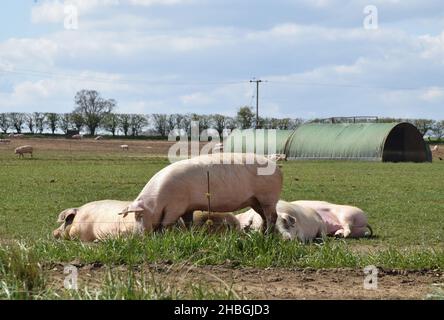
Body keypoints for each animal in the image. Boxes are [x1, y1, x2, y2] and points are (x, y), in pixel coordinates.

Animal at [119, 152, 282, 232]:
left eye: (139, 215)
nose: (137, 236)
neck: (156, 201)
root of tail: (275, 165)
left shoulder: (175, 207)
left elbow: (166, 224)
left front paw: (163, 235)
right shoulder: (187, 208)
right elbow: (188, 223)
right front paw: (190, 234)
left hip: (268, 197)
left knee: (272, 216)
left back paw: (267, 236)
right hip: (255, 200)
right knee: (264, 216)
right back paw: (262, 233)